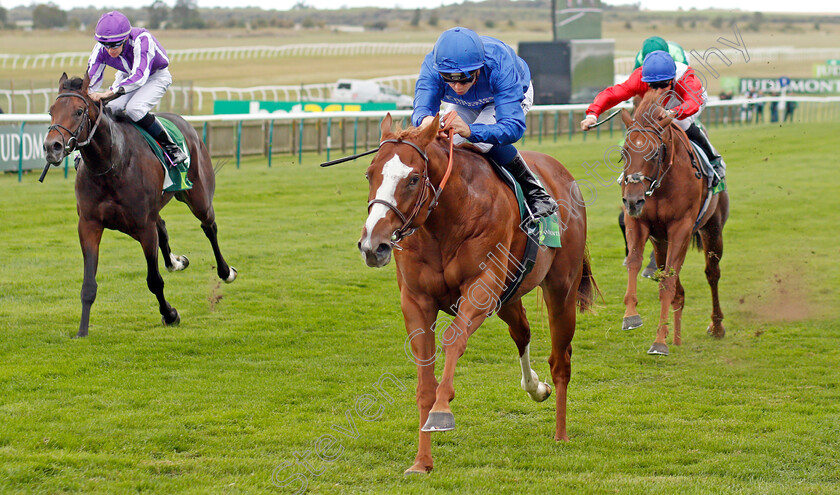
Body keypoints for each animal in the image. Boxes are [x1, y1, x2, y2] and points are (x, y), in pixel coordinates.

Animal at [44, 72, 238, 338]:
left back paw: (226, 272)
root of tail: (184, 122)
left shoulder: (143, 227)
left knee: (209, 227)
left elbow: (154, 280)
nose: (51, 147)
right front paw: (82, 330)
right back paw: (176, 262)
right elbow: (88, 284)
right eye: (51, 111)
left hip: (198, 197)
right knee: (164, 228)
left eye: (79, 111)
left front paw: (170, 314)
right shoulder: (89, 225)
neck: (112, 163)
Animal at [358, 114, 592, 474]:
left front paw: (442, 412)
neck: (445, 220)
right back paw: (535, 387)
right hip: (508, 296)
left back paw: (561, 433)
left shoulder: (481, 287)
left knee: (560, 360)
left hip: (561, 290)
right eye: (370, 174)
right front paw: (422, 461)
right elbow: (424, 378)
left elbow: (453, 339)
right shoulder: (416, 300)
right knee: (522, 332)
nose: (373, 245)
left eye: (413, 179)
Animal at [616, 91, 728, 356]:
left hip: (712, 228)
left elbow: (668, 280)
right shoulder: (638, 221)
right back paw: (675, 336)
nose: (632, 199)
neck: (662, 183)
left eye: (655, 153)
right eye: (624, 153)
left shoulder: (681, 227)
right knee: (676, 286)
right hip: (660, 241)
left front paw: (659, 342)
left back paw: (716, 325)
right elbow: (634, 262)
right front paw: (631, 316)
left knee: (712, 273)